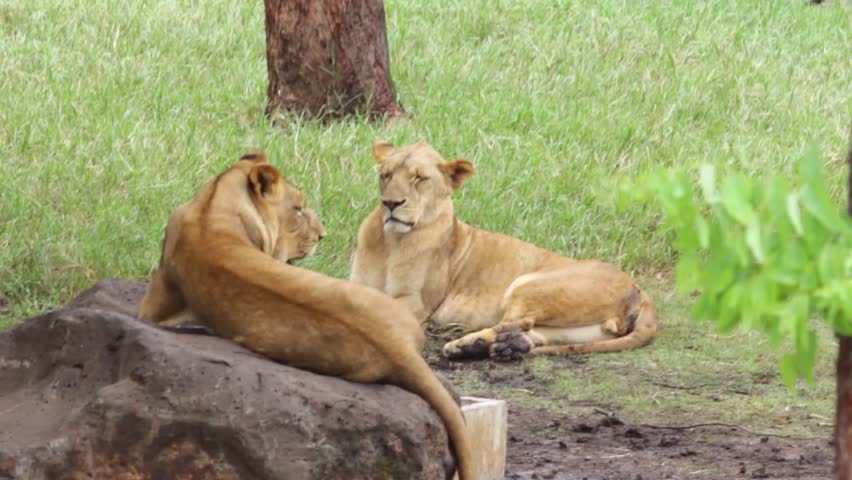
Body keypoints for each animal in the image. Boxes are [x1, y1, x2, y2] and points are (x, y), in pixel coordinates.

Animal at [351, 141, 658, 361]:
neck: (389, 242)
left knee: (518, 321)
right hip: (582, 328)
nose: (391, 203)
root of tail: (639, 289)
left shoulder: (417, 302)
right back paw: (503, 347)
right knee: (535, 331)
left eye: (419, 179)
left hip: (529, 285)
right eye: (386, 175)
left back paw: (466, 345)